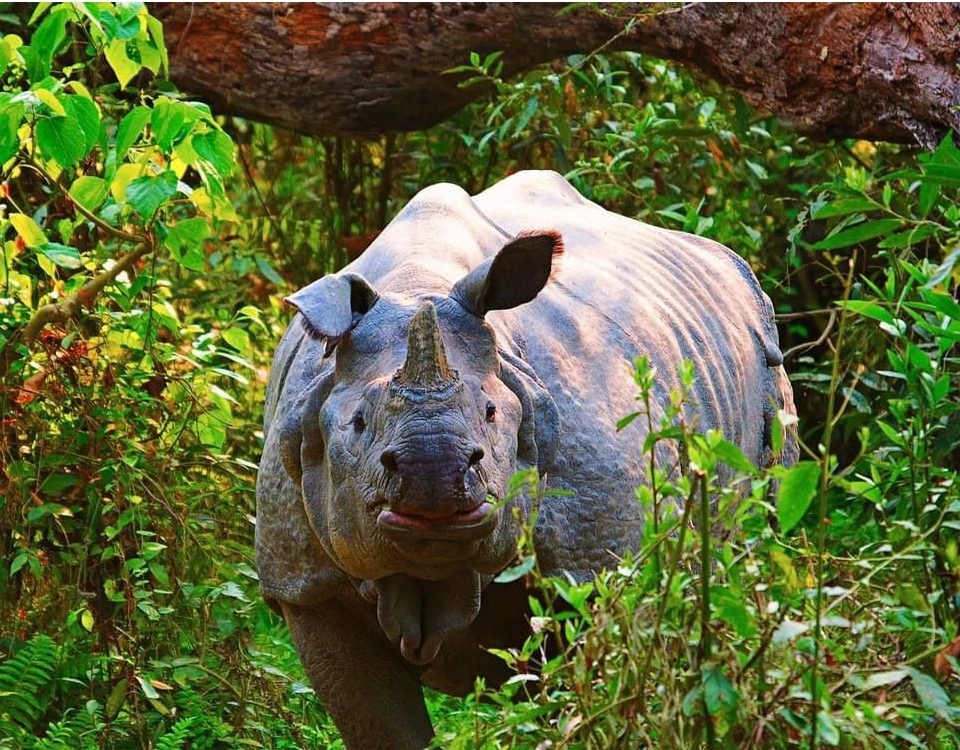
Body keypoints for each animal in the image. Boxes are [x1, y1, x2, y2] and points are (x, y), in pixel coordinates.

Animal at [255, 170, 797, 749]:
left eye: (493, 412)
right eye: (357, 423)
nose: (434, 476)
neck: (416, 283)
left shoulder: (602, 564)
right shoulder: (304, 583)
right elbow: (382, 724)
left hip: (766, 362)